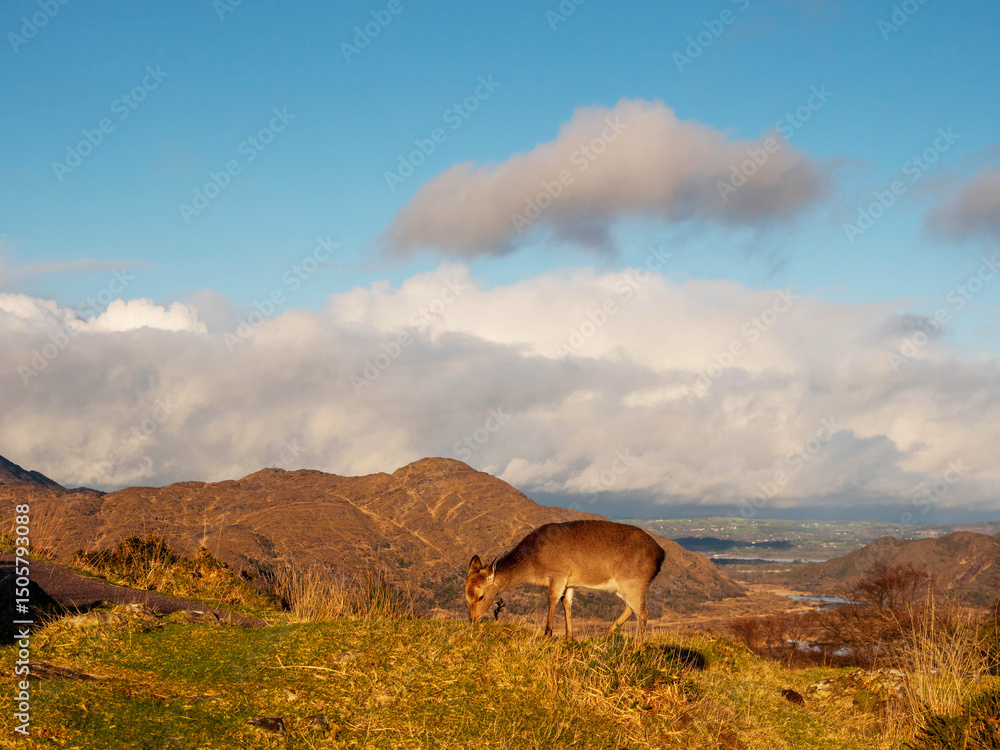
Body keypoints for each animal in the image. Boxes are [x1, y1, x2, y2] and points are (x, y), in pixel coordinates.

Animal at [465, 520, 666, 640]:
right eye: (466, 596)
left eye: (481, 596)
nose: (472, 619)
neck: (533, 563)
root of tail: (661, 554)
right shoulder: (569, 582)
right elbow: (566, 602)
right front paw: (569, 637)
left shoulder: (558, 574)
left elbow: (552, 600)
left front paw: (547, 634)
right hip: (626, 587)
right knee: (632, 609)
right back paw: (606, 635)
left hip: (634, 583)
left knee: (643, 612)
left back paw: (637, 646)